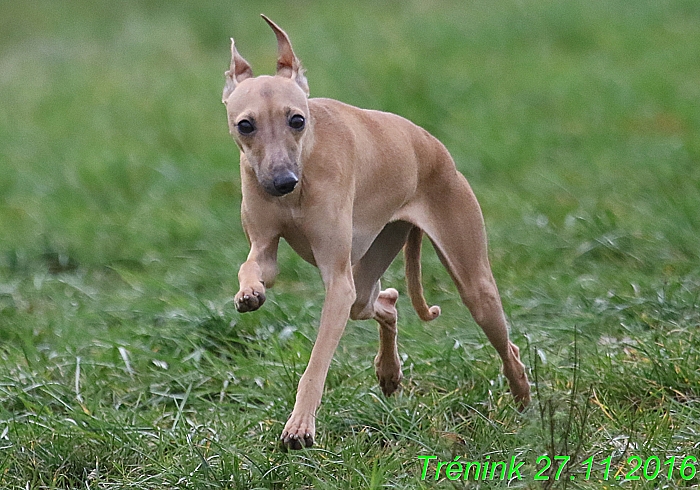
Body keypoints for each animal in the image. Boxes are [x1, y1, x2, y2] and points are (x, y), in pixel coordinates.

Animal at [224, 16, 532, 452]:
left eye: (297, 119)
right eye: (245, 125)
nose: (282, 182)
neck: (306, 166)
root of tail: (434, 149)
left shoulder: (338, 283)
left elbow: (317, 363)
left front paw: (300, 427)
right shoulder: (266, 245)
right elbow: (254, 266)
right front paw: (249, 293)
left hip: (474, 283)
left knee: (507, 345)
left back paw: (522, 397)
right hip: (376, 260)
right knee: (386, 300)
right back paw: (389, 372)